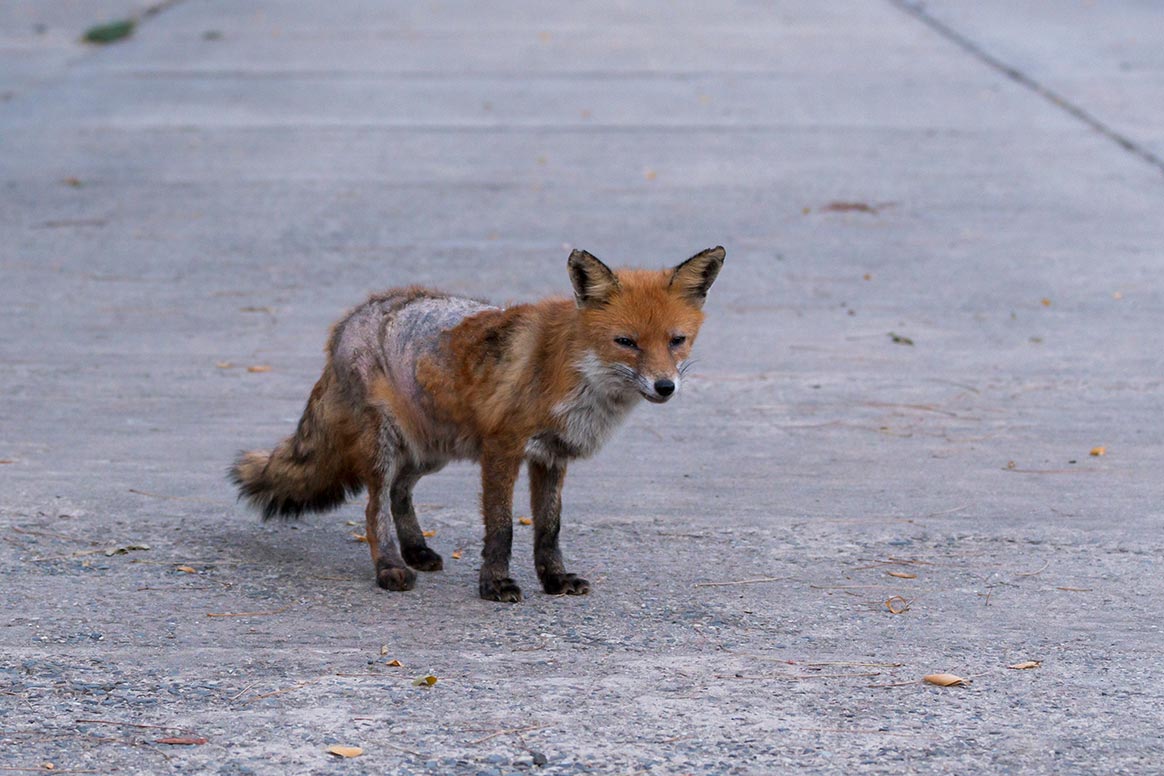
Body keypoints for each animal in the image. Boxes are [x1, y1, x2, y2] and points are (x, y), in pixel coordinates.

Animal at [230, 245, 721, 604]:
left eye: (676, 340)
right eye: (626, 342)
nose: (664, 386)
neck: (575, 374)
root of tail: (348, 318)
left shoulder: (551, 456)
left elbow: (549, 528)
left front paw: (555, 580)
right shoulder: (502, 448)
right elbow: (502, 528)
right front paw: (495, 585)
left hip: (431, 448)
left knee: (399, 492)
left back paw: (417, 550)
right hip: (388, 445)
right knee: (374, 508)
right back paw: (391, 566)